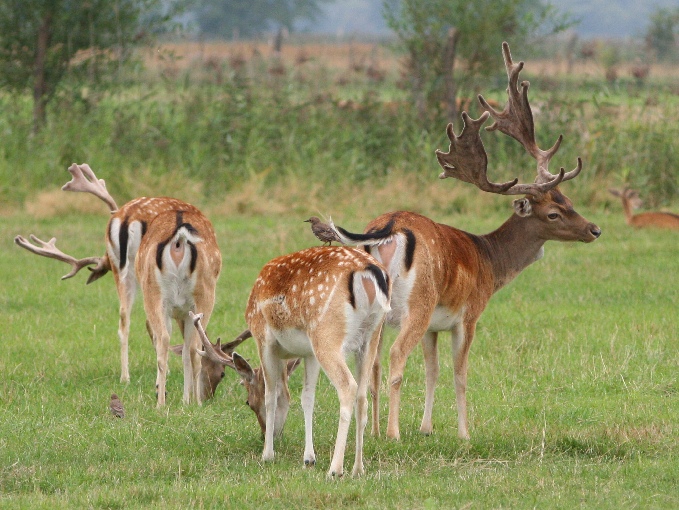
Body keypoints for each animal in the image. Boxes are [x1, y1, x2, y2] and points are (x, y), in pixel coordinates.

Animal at [332, 42, 604, 442]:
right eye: (554, 214)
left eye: (568, 200)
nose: (594, 230)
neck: (490, 260)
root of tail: (390, 227)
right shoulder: (469, 314)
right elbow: (460, 374)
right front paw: (463, 434)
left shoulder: (434, 327)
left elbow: (433, 371)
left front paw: (426, 427)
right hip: (418, 302)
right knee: (395, 358)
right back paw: (393, 433)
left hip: (377, 308)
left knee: (371, 364)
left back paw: (375, 431)